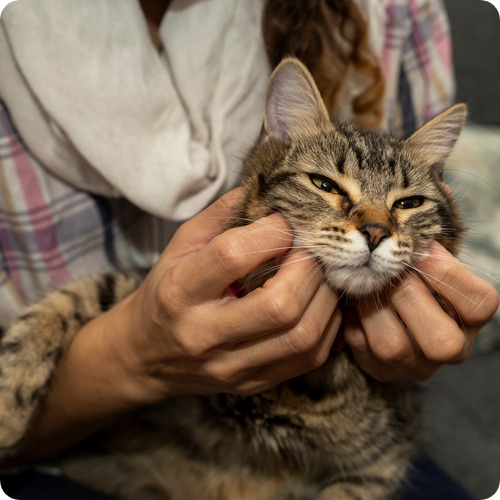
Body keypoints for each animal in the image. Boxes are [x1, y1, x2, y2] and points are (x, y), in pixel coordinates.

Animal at [0, 56, 466, 498]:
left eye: (409, 203)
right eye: (324, 184)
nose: (375, 232)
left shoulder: (379, 466)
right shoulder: (144, 284)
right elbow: (72, 297)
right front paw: (8, 403)